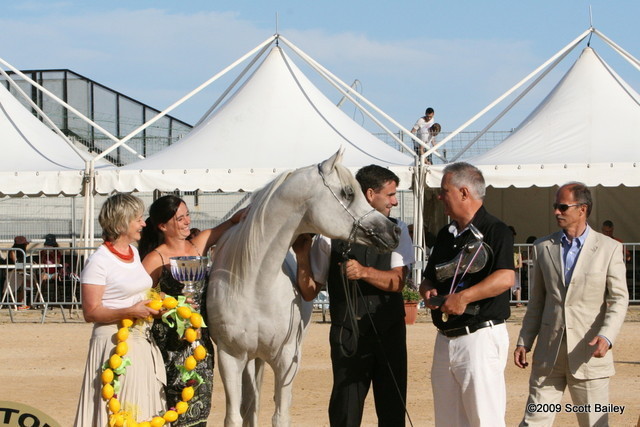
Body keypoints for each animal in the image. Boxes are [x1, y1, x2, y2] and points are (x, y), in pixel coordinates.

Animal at [207, 148, 401, 426]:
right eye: (348, 193)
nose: (394, 231)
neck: (254, 286)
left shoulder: (287, 359)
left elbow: (280, 416)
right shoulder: (229, 357)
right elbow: (233, 417)